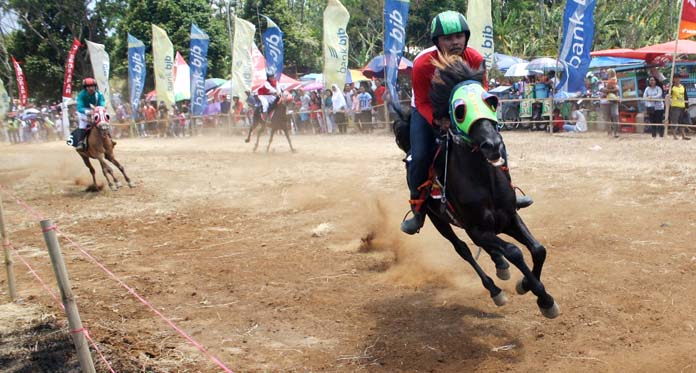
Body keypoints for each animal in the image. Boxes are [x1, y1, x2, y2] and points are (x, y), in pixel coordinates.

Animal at [392, 55, 560, 316]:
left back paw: (501, 266)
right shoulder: (476, 229)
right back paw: (495, 290)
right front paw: (543, 297)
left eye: (491, 101)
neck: (483, 182)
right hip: (438, 220)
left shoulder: (510, 217)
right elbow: (514, 251)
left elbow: (538, 249)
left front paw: (527, 285)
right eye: (460, 111)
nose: (492, 144)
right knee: (463, 250)